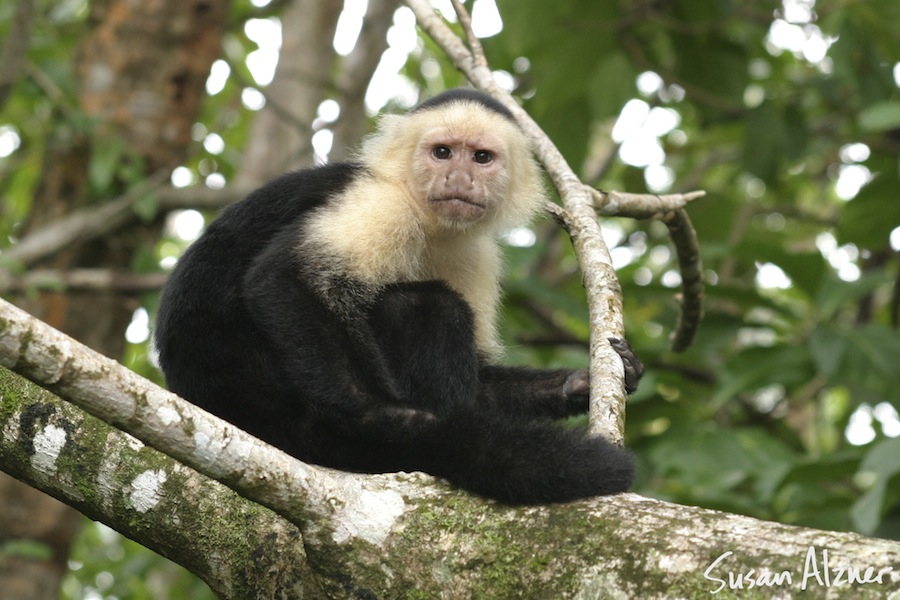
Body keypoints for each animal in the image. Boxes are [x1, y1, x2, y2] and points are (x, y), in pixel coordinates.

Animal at [154, 89, 642, 504]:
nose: (458, 177)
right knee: (422, 305)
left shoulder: (475, 254)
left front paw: (580, 383)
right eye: (442, 152)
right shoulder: (382, 202)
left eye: (482, 157)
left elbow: (483, 381)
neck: (427, 218)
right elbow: (282, 278)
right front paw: (378, 422)